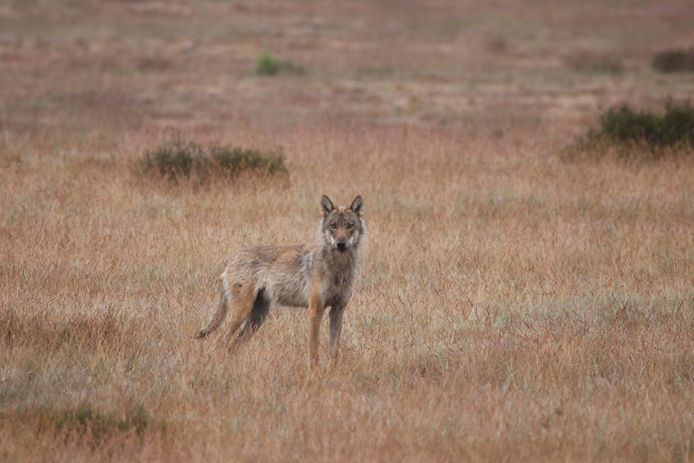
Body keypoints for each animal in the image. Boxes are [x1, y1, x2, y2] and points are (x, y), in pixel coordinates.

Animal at [197, 194, 364, 368]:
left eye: (350, 226)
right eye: (333, 226)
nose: (341, 244)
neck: (339, 268)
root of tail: (232, 259)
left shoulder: (338, 310)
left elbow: (334, 350)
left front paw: (332, 371)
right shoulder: (315, 310)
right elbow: (314, 349)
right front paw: (314, 371)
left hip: (257, 319)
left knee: (232, 346)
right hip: (242, 313)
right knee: (220, 342)